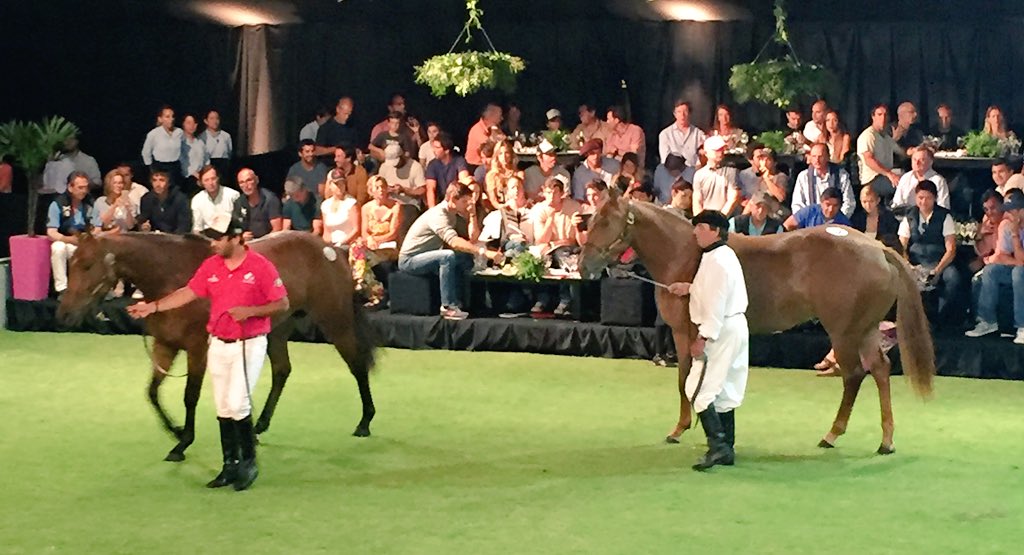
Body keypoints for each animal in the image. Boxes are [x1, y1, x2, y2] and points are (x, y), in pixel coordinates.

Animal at [56, 231, 377, 462]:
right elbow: (152, 392)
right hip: (277, 330)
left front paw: (183, 442)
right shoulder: (166, 345)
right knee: (282, 371)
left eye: (87, 265)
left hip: (335, 321)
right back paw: (259, 426)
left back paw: (365, 422)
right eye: (71, 265)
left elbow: (190, 396)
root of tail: (332, 249)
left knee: (356, 364)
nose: (64, 314)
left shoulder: (197, 349)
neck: (171, 275)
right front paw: (175, 431)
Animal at [579, 196, 935, 454]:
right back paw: (886, 440)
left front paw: (679, 429)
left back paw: (832, 434)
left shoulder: (686, 333)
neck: (688, 254)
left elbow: (685, 380)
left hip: (844, 333)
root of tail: (879, 249)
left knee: (855, 376)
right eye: (591, 219)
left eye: (606, 221)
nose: (584, 266)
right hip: (866, 329)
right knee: (881, 370)